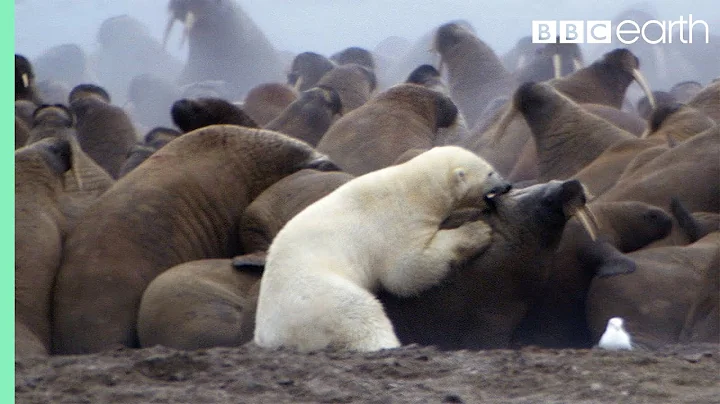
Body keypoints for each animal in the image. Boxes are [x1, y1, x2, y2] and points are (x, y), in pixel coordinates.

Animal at [253, 145, 511, 352]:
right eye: (490, 172)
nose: (508, 185)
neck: (415, 189)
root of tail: (270, 336)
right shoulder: (395, 222)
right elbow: (405, 271)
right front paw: (478, 231)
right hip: (315, 298)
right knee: (359, 312)